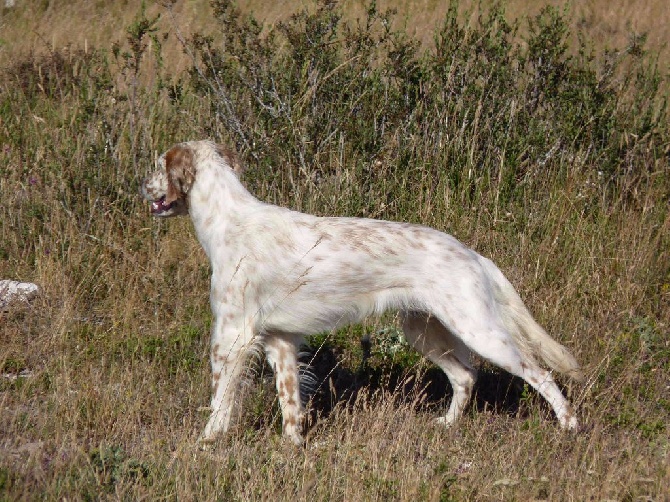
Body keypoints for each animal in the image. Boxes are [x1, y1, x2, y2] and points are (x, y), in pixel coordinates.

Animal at [142, 141, 584, 444]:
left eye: (158, 166)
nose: (142, 186)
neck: (229, 220)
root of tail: (474, 254)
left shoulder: (232, 337)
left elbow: (220, 400)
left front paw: (207, 440)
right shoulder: (280, 340)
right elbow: (290, 402)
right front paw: (293, 444)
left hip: (480, 330)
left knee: (540, 373)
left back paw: (569, 425)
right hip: (423, 330)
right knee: (466, 376)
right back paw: (447, 423)